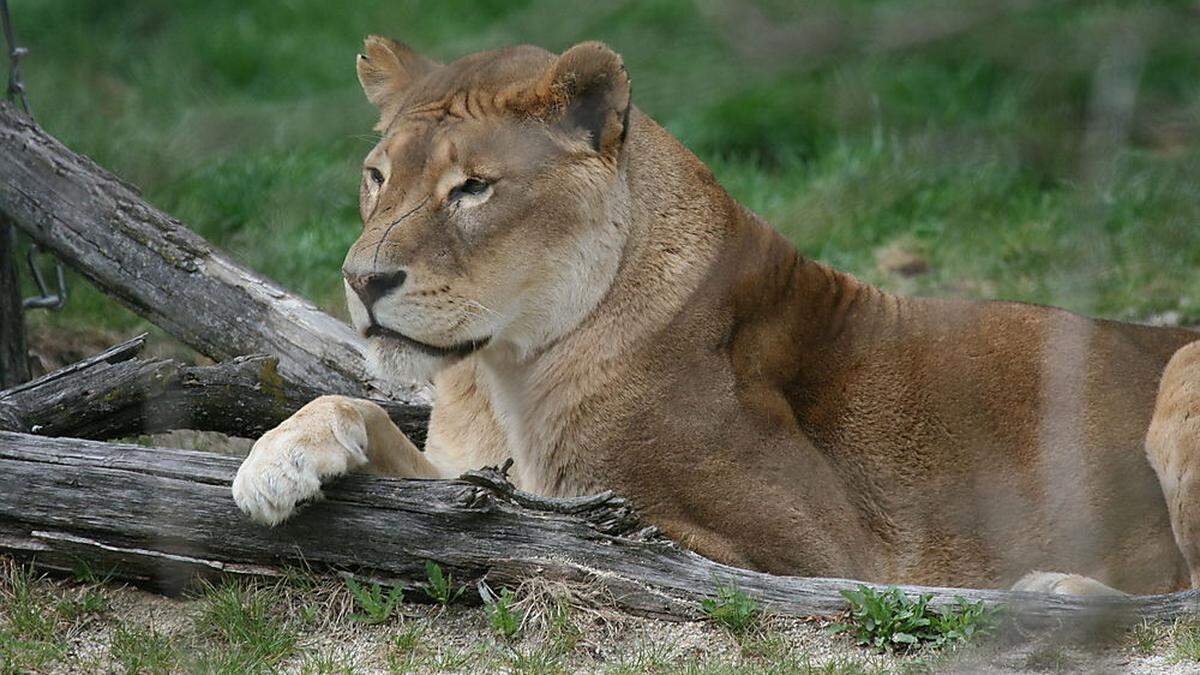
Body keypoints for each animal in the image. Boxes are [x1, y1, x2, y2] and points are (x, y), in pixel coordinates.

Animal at [231, 38, 1200, 593]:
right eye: (377, 175)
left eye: (473, 188)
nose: (362, 280)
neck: (501, 369)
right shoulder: (474, 475)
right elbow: (365, 414)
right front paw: (274, 462)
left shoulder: (816, 553)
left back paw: (1055, 594)